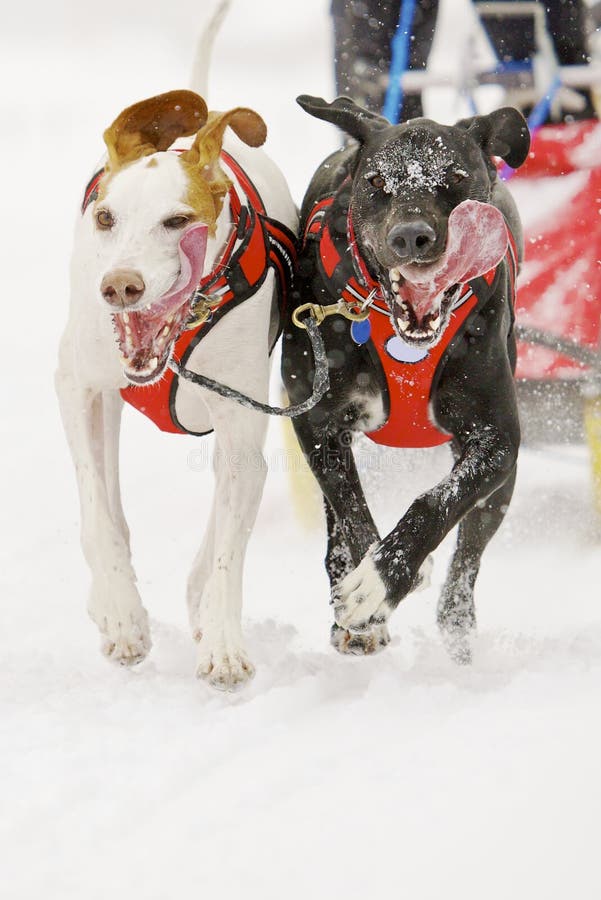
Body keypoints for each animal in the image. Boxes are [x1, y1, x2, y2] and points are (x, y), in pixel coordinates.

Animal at [57, 14, 296, 688]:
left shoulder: (243, 431)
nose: (120, 287)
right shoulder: (78, 387)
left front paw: (223, 640)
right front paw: (120, 612)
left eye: (176, 221)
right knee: (107, 506)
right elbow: (96, 508)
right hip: (106, 399)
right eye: (105, 218)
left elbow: (227, 550)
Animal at [282, 98, 528, 660]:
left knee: (469, 552)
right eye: (376, 181)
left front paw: (382, 581)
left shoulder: (498, 439)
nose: (411, 235)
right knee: (336, 524)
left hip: (501, 485)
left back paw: (457, 626)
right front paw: (375, 582)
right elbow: (351, 511)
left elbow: (436, 504)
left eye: (455, 177)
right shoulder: (317, 423)